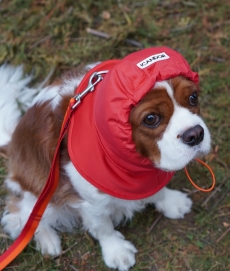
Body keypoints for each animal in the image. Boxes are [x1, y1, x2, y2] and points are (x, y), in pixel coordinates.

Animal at [0, 47, 210, 270]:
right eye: (151, 119)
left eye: (193, 98)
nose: (195, 134)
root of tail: (12, 144)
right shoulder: (93, 202)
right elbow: (104, 228)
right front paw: (116, 251)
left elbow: (158, 192)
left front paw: (170, 202)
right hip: (42, 191)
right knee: (21, 215)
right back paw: (47, 240)